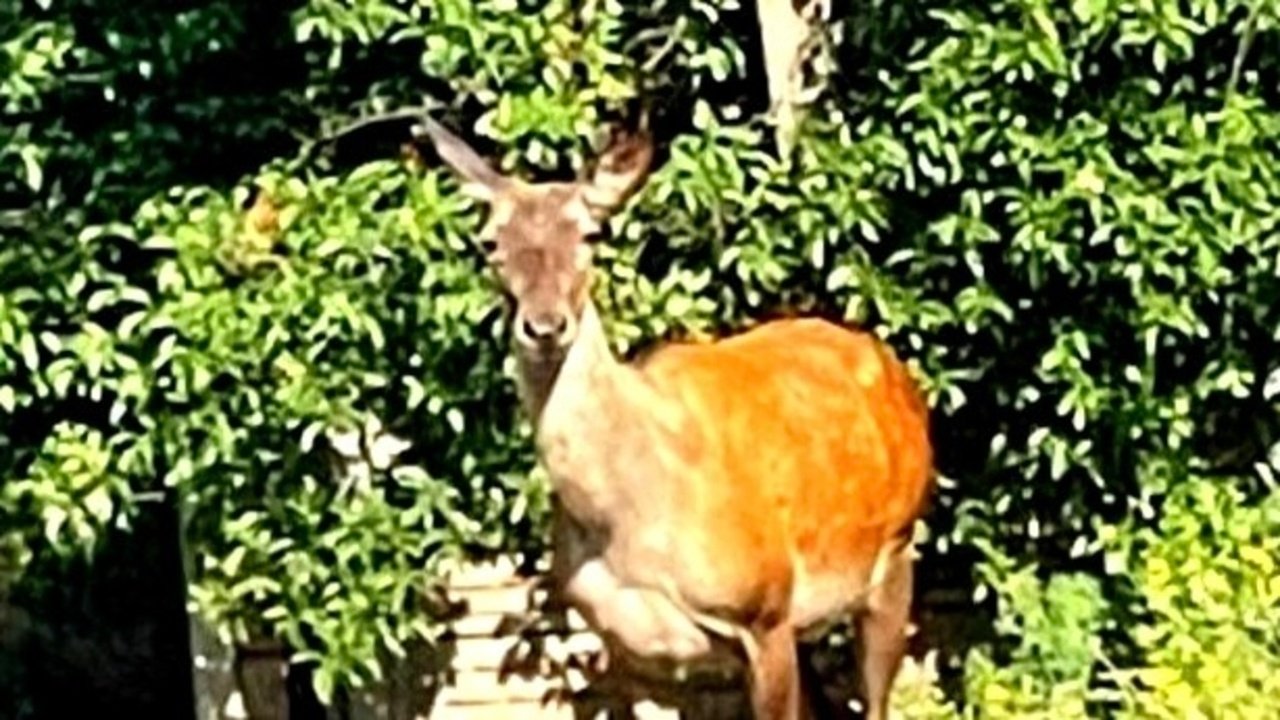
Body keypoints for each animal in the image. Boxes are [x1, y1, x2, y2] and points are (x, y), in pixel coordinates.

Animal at [419, 115, 934, 720]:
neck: (629, 518)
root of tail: (896, 372)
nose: (545, 325)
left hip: (894, 549)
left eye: (590, 234)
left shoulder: (764, 612)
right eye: (490, 242)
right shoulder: (624, 642)